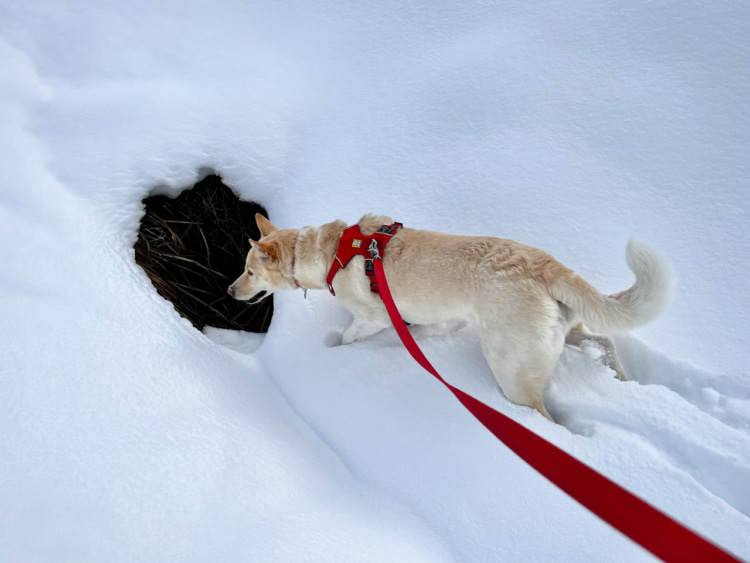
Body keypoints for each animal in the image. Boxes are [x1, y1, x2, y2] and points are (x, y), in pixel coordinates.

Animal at [229, 214, 676, 420]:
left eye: (249, 271)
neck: (327, 252)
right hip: (557, 333)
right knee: (604, 339)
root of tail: (546, 265)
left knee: (541, 411)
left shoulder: (373, 319)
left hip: (511, 365)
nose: (230, 291)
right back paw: (621, 379)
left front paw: (334, 356)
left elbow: (346, 339)